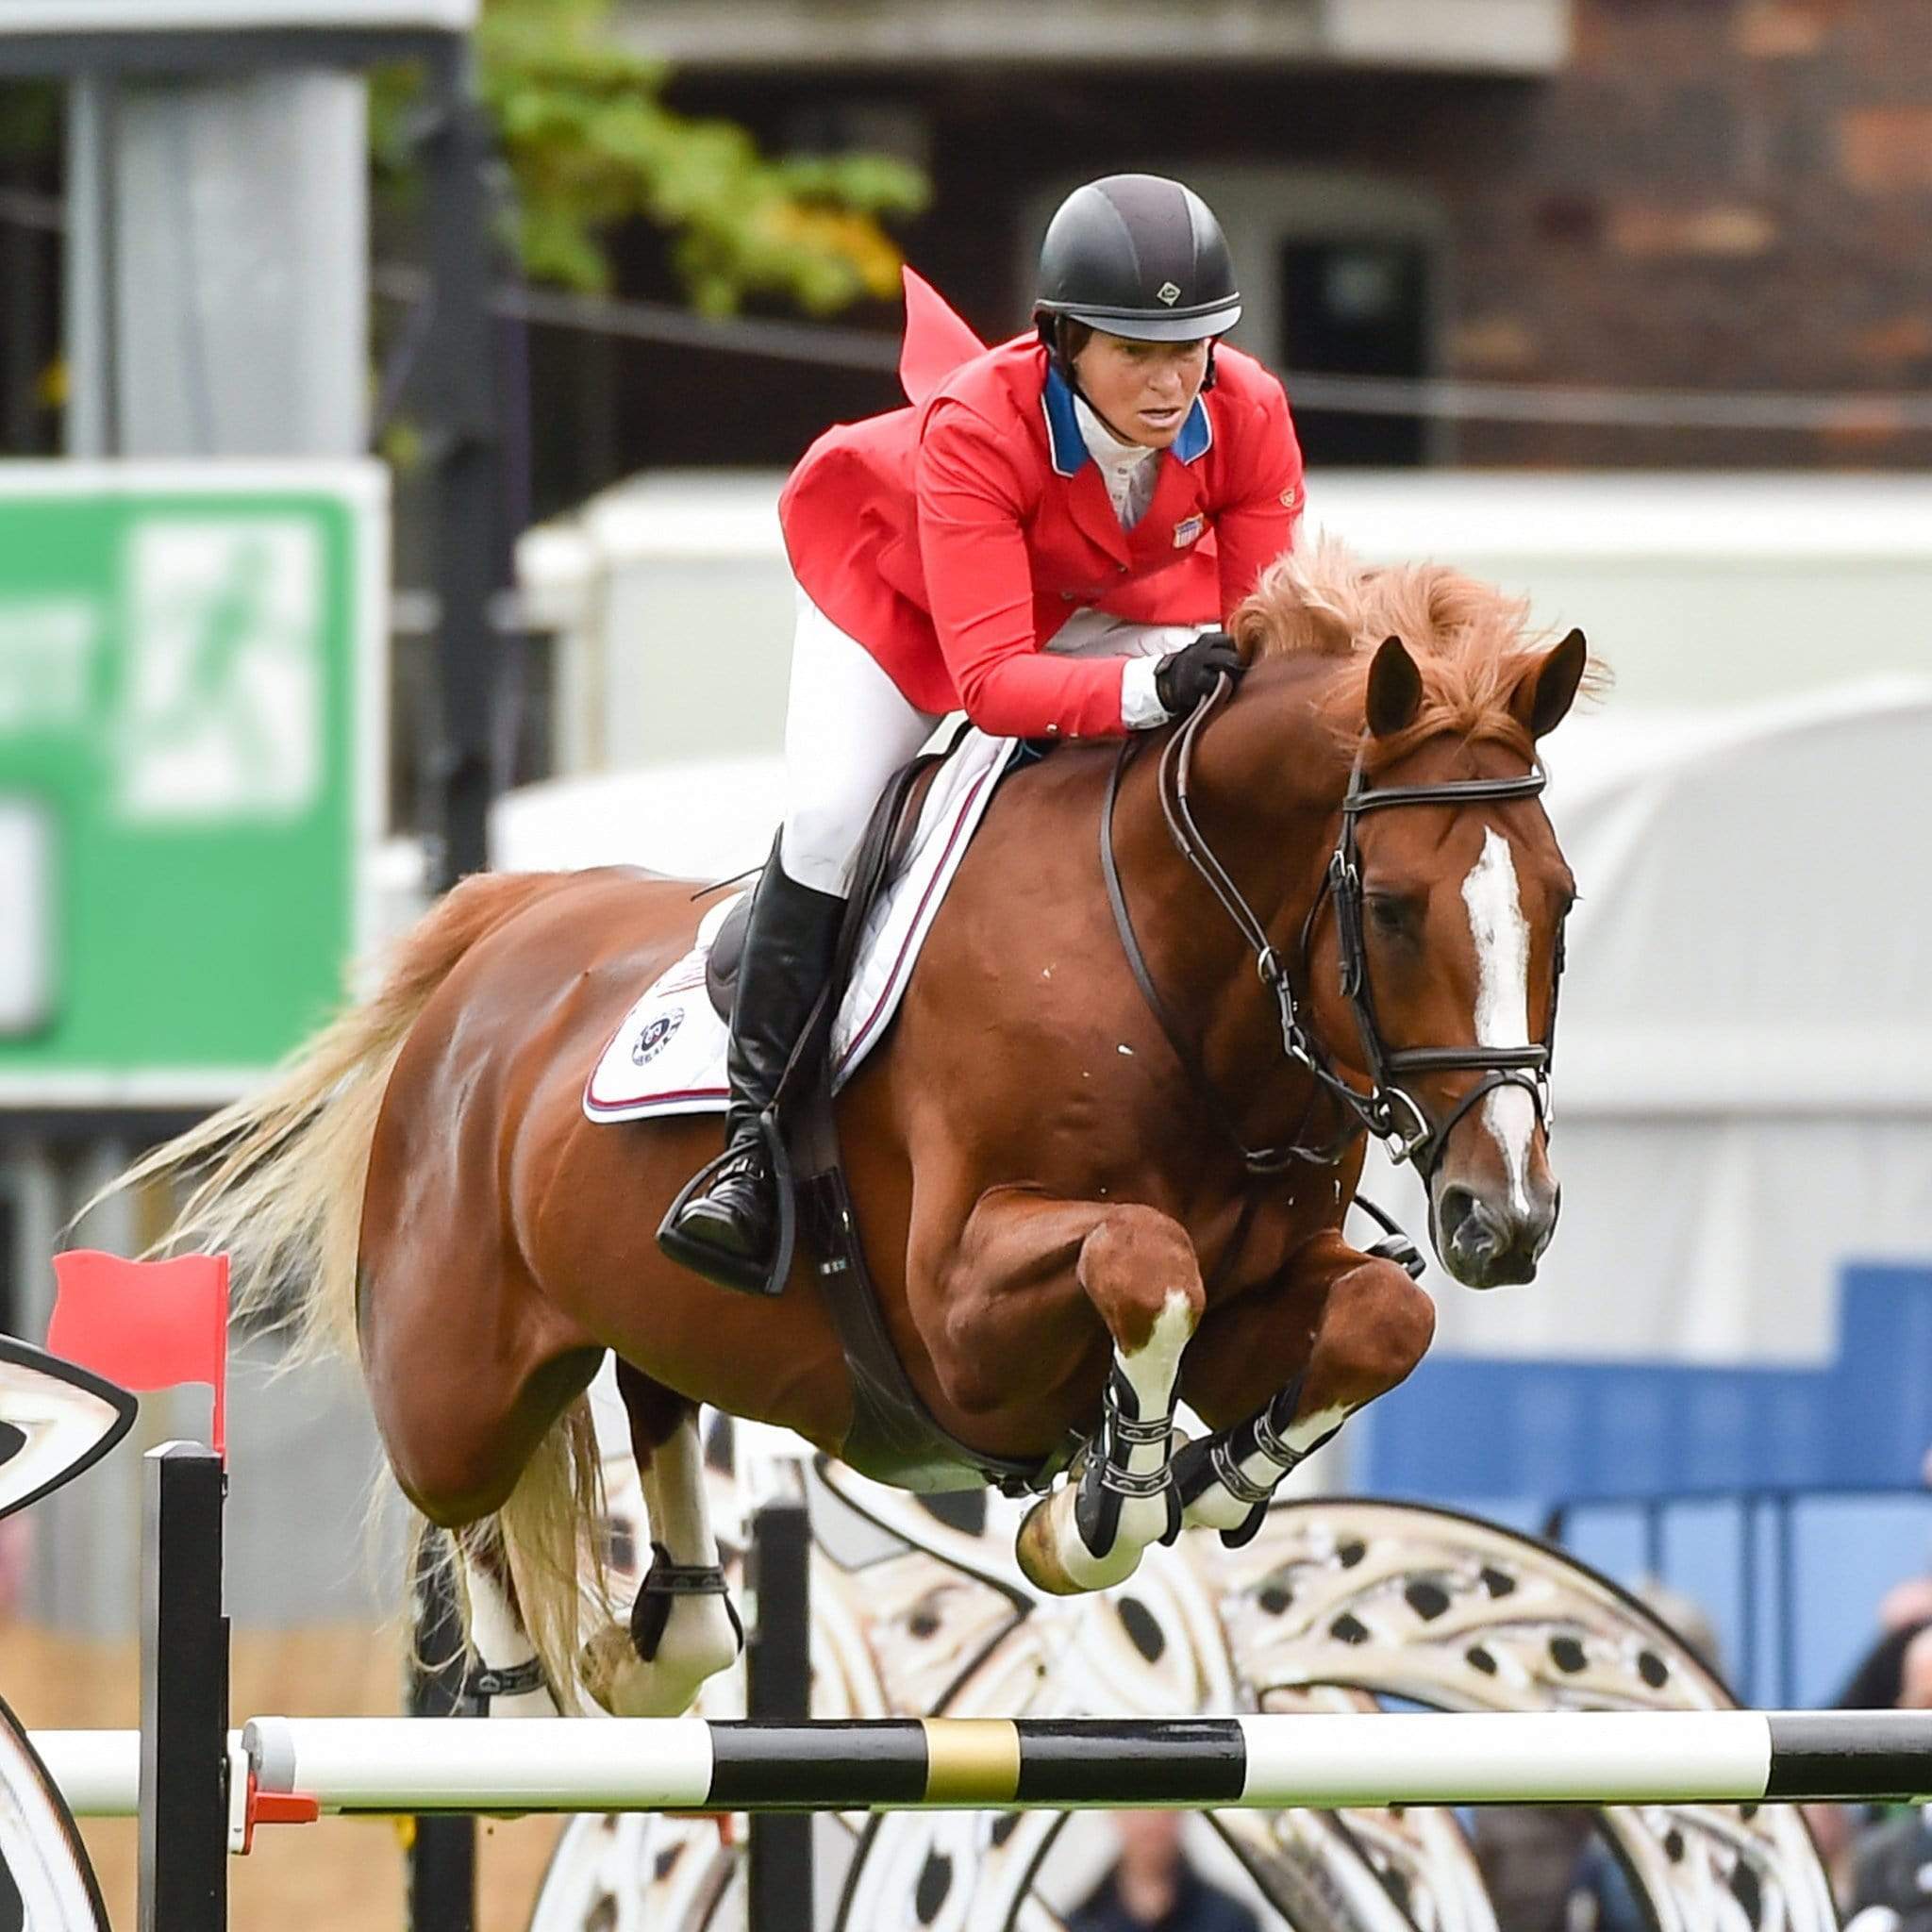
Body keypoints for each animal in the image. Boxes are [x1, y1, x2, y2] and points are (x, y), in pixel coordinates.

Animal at [125, 537, 1599, 1715]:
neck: (1182, 984)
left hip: (650, 1308)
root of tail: (498, 935)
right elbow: (1141, 1257)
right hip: (456, 1373)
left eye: (1562, 899)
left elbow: (1377, 1319)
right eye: (1392, 908)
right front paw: (1096, 1512)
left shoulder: (1264, 1293)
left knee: (655, 1411)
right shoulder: (958, 1316)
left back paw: (658, 1643)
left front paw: (1208, 1478)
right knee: (459, 1502)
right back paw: (529, 1695)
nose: (1508, 1219)